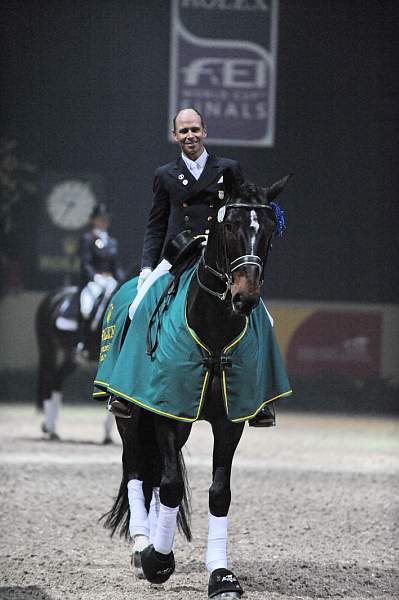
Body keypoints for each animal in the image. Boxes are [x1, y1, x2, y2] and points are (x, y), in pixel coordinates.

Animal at [35, 286, 115, 440]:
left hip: (71, 358)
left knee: (57, 381)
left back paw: (52, 429)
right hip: (47, 350)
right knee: (50, 382)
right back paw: (49, 427)